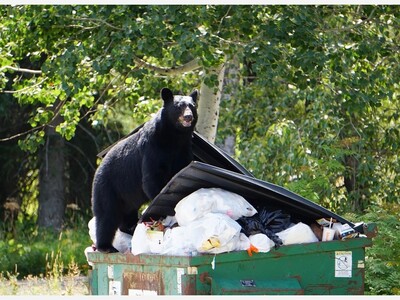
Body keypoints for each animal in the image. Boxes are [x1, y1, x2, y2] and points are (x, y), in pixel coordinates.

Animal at [90, 88, 197, 252]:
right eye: (178, 106)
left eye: (192, 106)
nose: (188, 116)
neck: (174, 137)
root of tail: (98, 168)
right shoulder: (153, 147)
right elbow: (152, 177)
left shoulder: (183, 149)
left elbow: (181, 171)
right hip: (108, 186)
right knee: (107, 215)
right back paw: (106, 246)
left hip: (126, 197)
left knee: (126, 214)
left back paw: (131, 228)